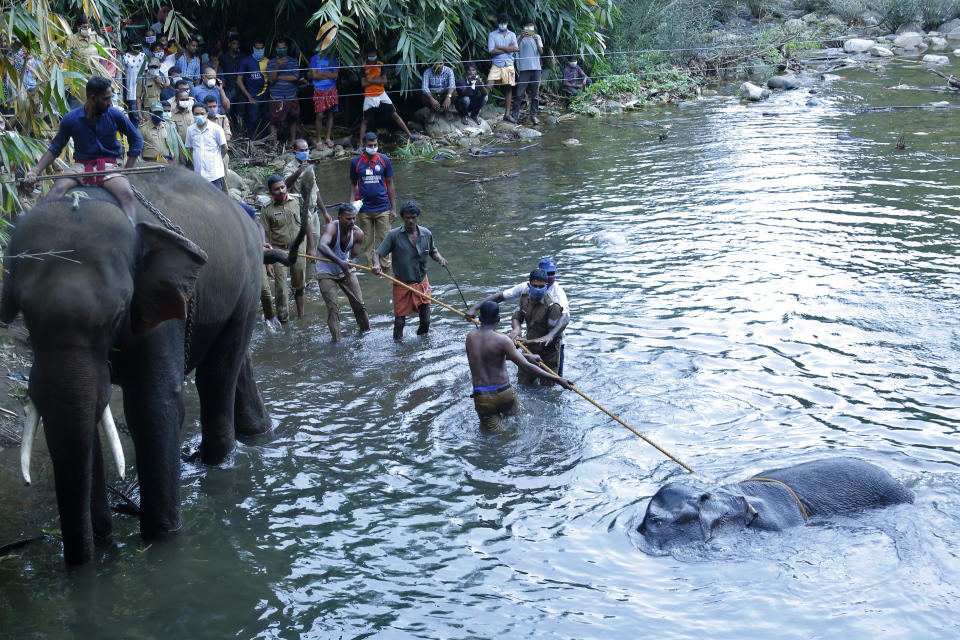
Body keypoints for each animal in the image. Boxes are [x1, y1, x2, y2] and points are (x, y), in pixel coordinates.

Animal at [0, 166, 304, 564]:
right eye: (24, 312)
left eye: (119, 311)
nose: (82, 560)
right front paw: (104, 543)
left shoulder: (164, 303)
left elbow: (153, 405)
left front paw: (161, 540)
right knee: (236, 363)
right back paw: (257, 433)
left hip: (247, 281)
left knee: (218, 373)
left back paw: (215, 461)